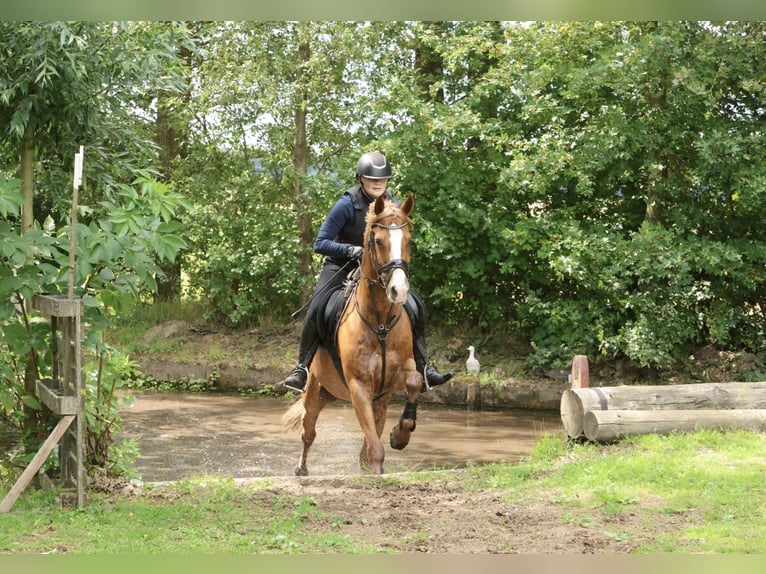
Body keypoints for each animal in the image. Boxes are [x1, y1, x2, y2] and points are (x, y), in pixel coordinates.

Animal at [284, 194, 426, 476]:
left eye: (408, 240)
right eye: (378, 240)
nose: (399, 290)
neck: (380, 324)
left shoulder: (398, 374)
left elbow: (415, 381)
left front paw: (400, 436)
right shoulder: (358, 385)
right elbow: (375, 449)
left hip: (372, 399)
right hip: (316, 387)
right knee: (308, 432)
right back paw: (301, 469)